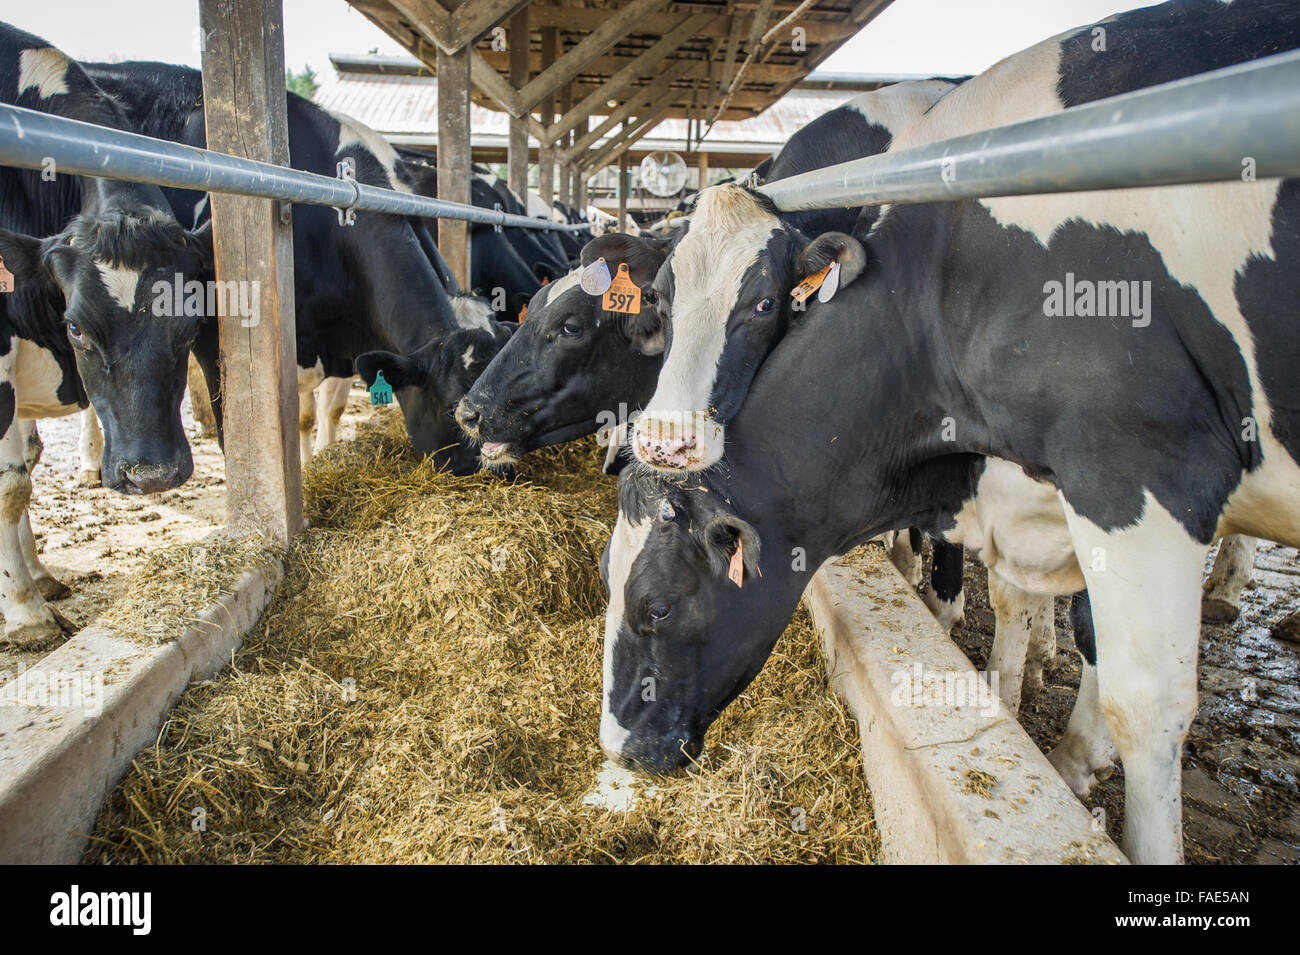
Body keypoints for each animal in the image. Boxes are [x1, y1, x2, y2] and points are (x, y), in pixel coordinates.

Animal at [0, 25, 213, 646]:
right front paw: (25, 614)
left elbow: (22, 472)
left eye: (192, 321)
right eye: (74, 326)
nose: (152, 476)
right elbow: (9, 484)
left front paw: (34, 585)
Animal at [599, 0, 1300, 864]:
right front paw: (1014, 700)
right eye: (661, 298)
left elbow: (1141, 696)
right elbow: (1012, 593)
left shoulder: (1134, 470)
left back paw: (1227, 589)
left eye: (764, 302)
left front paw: (1073, 749)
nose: (665, 440)